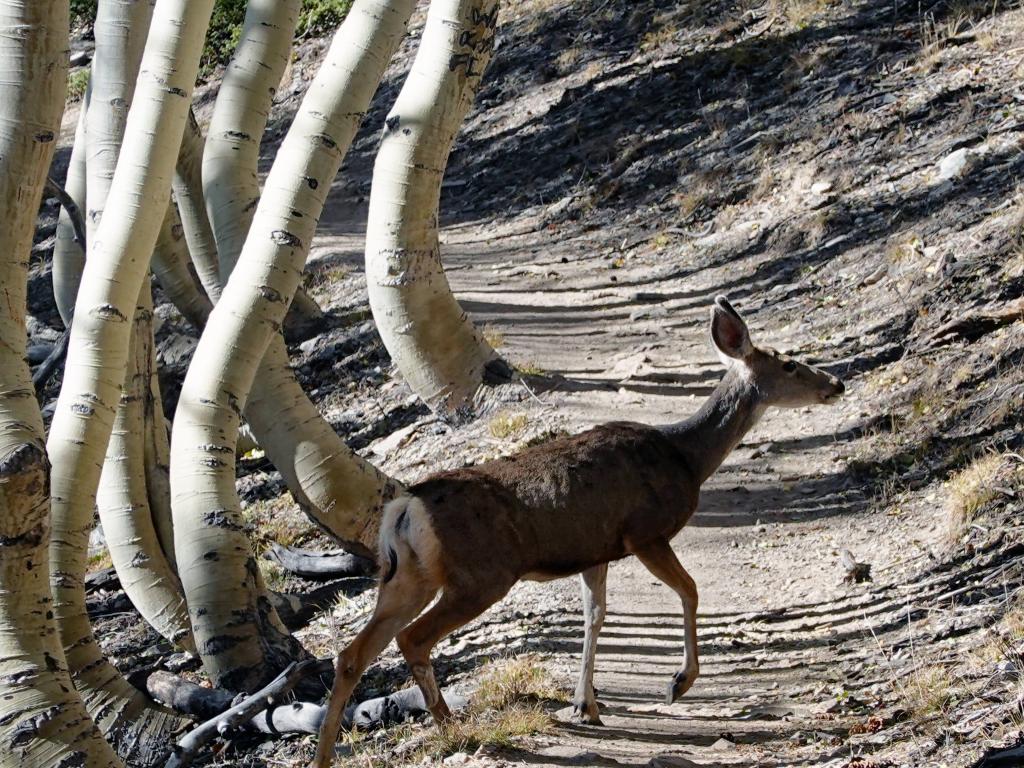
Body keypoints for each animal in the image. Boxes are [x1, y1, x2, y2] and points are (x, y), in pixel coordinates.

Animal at [307, 296, 843, 768]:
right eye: (790, 364)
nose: (835, 383)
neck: (686, 457)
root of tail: (406, 507)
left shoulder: (596, 551)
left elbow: (595, 616)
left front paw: (586, 705)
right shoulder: (644, 531)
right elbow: (689, 590)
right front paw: (678, 682)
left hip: (407, 577)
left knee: (351, 653)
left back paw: (326, 755)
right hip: (480, 576)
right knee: (412, 639)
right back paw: (450, 726)